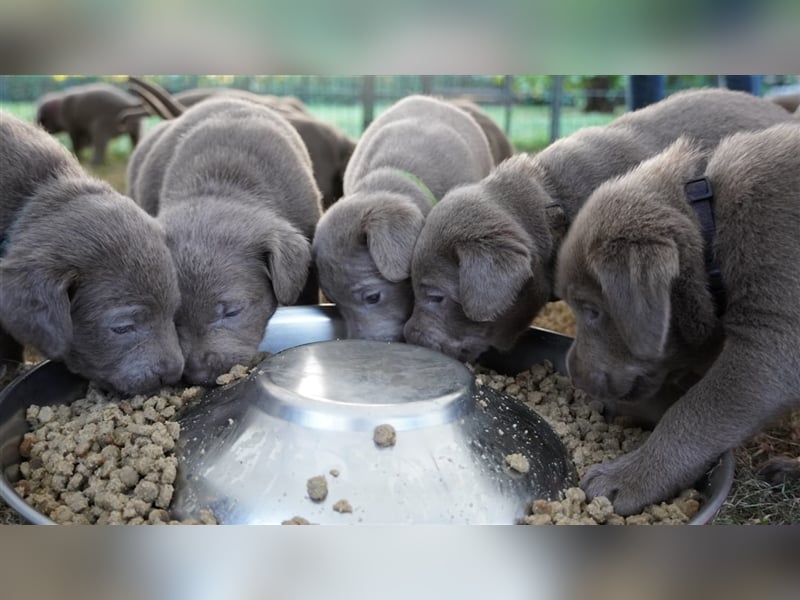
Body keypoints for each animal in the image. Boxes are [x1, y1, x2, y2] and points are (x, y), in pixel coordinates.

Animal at [552, 123, 800, 516]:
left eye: (592, 310)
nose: (573, 374)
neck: (714, 232)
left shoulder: (773, 341)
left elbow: (695, 411)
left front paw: (627, 478)